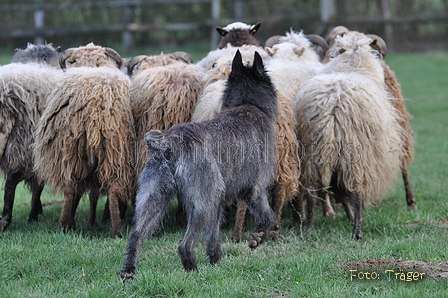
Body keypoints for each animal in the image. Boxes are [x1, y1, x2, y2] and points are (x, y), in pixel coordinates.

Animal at [33, 42, 135, 237]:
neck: (91, 65)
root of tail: (93, 106)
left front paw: (84, 221)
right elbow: (91, 194)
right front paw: (90, 221)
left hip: (69, 150)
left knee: (69, 189)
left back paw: (64, 226)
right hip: (114, 151)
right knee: (110, 189)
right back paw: (114, 231)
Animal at [121, 50, 278, 280]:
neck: (247, 105)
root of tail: (169, 143)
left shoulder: (219, 202)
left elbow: (214, 234)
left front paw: (215, 259)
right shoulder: (255, 190)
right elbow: (268, 217)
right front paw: (257, 238)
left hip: (154, 200)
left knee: (136, 236)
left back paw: (128, 272)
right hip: (201, 205)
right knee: (184, 245)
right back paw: (193, 270)